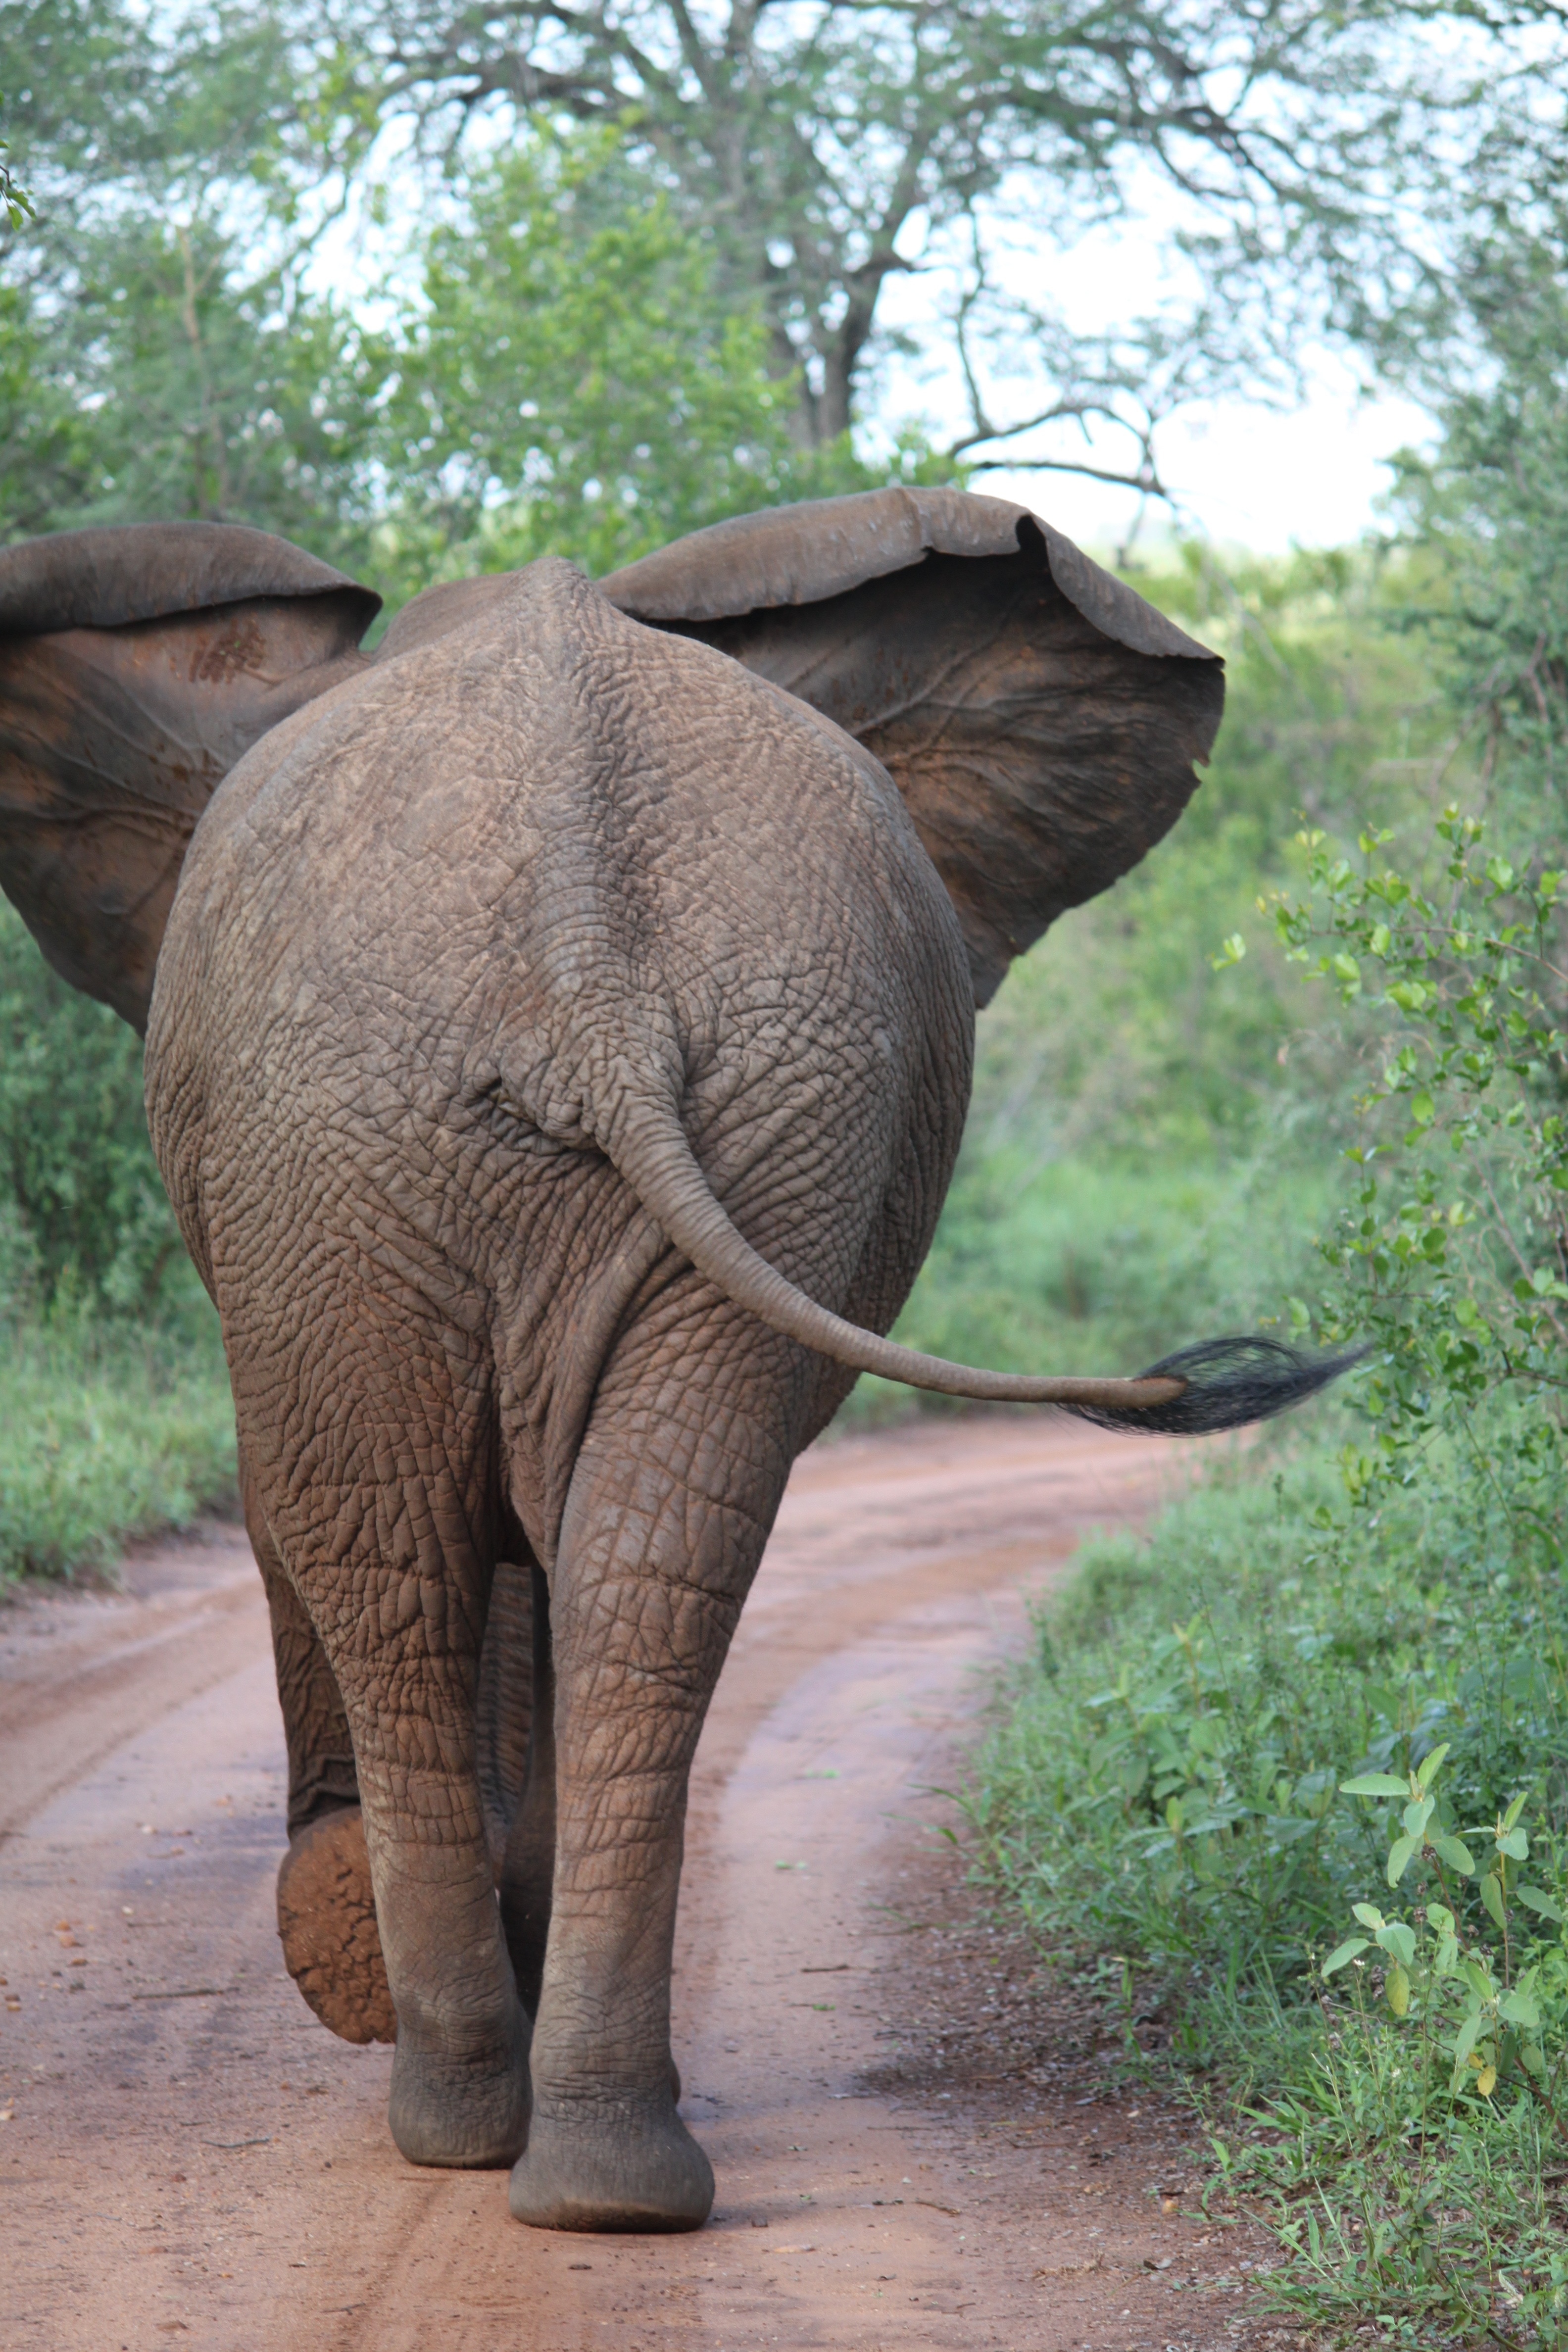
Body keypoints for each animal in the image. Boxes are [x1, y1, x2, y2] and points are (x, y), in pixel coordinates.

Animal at [0, 487, 1354, 2229]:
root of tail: (589, 947)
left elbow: (308, 1505)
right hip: (688, 1104)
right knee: (647, 1557)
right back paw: (604, 2179)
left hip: (388, 1120)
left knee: (391, 1551)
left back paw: (461, 2119)